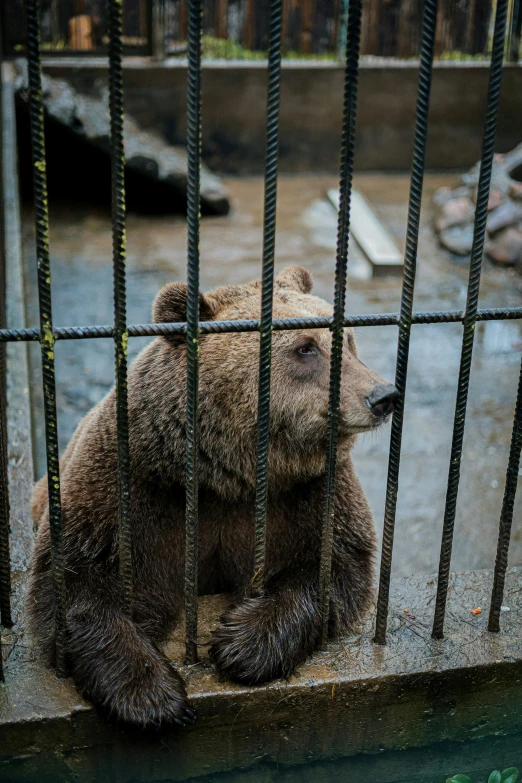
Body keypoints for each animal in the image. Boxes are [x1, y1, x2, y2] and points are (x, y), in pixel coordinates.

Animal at [27, 264, 394, 728]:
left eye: (345, 341)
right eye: (305, 348)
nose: (382, 395)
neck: (226, 473)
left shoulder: (310, 491)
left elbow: (331, 564)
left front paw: (242, 644)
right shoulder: (130, 483)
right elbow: (76, 579)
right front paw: (151, 693)